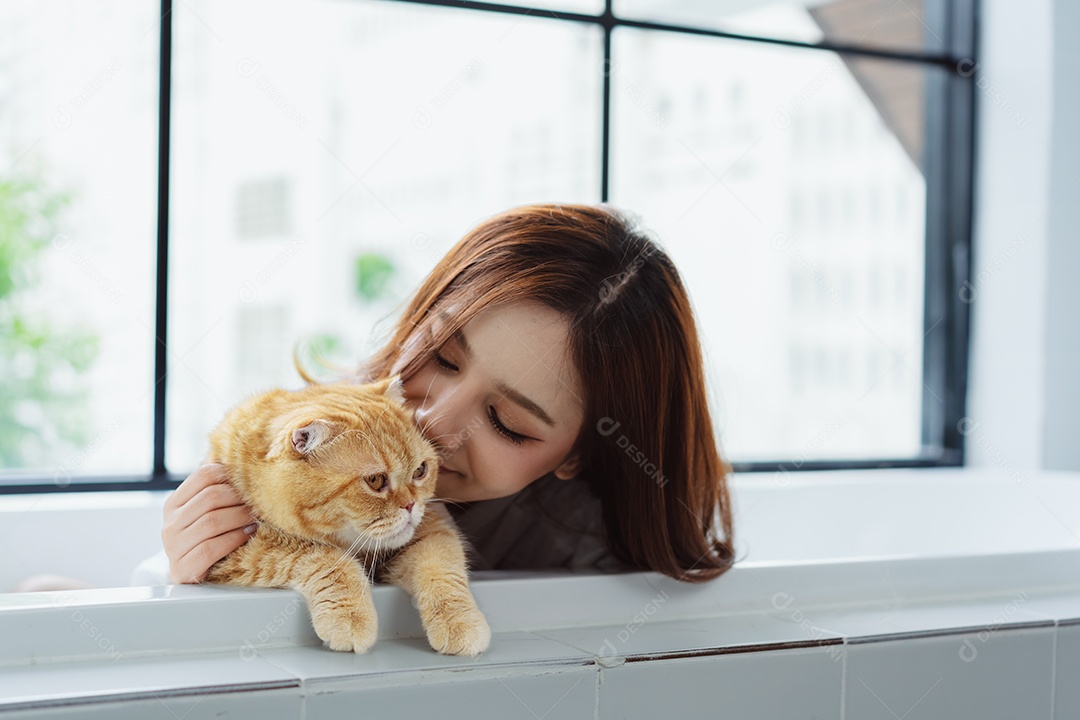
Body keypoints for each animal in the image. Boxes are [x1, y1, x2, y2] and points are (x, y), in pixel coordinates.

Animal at [203, 377, 490, 660]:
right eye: (375, 480)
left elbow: (442, 570)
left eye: (420, 470)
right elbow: (325, 556)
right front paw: (350, 615)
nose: (411, 505)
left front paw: (459, 621)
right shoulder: (237, 552)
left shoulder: (430, 530)